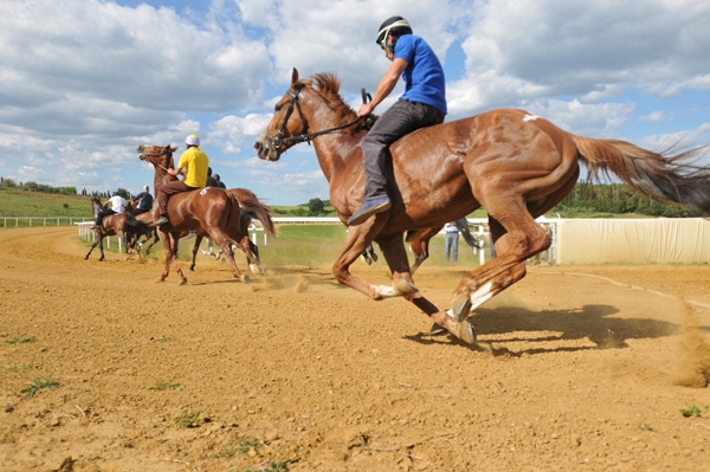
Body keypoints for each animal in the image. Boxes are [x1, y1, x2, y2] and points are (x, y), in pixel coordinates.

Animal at [138, 144, 276, 284]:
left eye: (155, 148)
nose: (140, 147)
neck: (165, 183)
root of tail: (227, 193)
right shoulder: (176, 233)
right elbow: (172, 253)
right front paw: (167, 275)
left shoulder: (162, 231)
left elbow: (168, 252)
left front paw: (176, 276)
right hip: (230, 228)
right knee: (246, 243)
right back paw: (255, 267)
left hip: (215, 229)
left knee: (228, 246)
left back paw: (240, 273)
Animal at [254, 70, 710, 348]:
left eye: (278, 106)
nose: (260, 145)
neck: (349, 154)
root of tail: (565, 134)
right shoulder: (389, 234)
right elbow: (407, 283)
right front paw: (447, 321)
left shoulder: (366, 225)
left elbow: (344, 271)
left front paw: (397, 295)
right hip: (504, 209)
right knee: (515, 262)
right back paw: (463, 304)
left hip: (493, 190)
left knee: (534, 241)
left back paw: (465, 289)